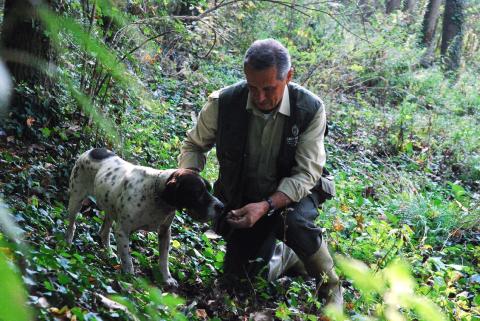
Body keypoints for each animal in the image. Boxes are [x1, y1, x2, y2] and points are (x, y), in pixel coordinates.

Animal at [64, 148, 224, 284]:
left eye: (209, 189)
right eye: (197, 193)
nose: (221, 207)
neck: (156, 195)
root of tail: (91, 150)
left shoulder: (165, 232)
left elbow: (164, 259)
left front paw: (167, 278)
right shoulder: (122, 231)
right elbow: (127, 258)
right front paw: (129, 277)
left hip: (110, 208)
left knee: (103, 232)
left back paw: (109, 253)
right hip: (76, 199)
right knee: (72, 225)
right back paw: (68, 244)